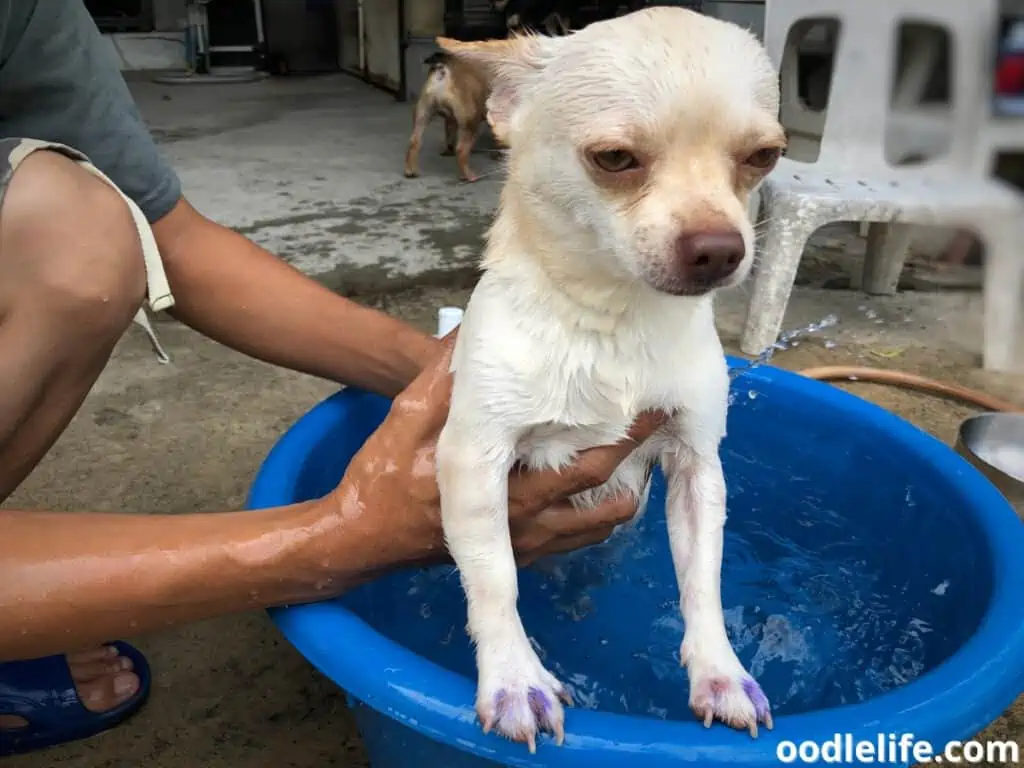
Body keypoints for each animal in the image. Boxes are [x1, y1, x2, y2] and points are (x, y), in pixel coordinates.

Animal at [403, 52, 491, 182]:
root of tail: (442, 70)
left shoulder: (450, 119)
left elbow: (450, 134)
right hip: (470, 121)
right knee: (461, 150)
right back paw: (468, 176)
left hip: (422, 114)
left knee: (414, 141)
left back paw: (410, 171)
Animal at [434, 4, 782, 753]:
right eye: (615, 159)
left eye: (763, 157)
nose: (721, 249)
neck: (613, 317)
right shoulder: (473, 460)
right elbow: (494, 576)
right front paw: (514, 678)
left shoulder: (696, 463)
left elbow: (703, 578)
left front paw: (719, 672)